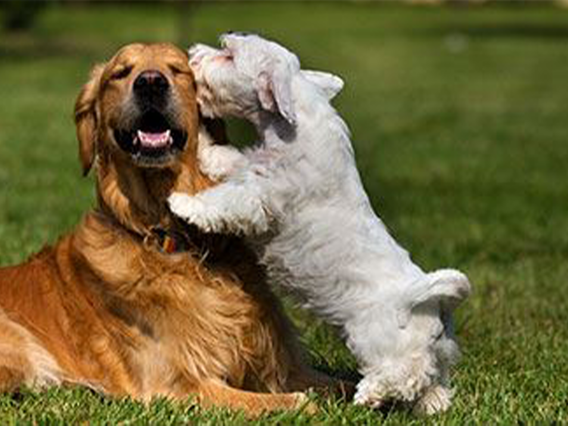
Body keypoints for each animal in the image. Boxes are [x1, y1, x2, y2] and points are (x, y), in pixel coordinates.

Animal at [0, 43, 328, 416]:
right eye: (121, 73)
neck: (173, 239)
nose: (151, 82)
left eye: (178, 70)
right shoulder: (177, 385)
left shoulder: (284, 367)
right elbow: (292, 402)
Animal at [169, 34, 470, 416]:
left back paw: (368, 394)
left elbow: (225, 202)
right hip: (437, 356)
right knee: (434, 386)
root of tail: (433, 302)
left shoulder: (259, 197)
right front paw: (206, 144)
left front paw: (183, 204)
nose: (192, 55)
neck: (296, 125)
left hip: (375, 339)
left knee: (404, 374)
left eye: (228, 54)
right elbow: (228, 159)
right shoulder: (251, 167)